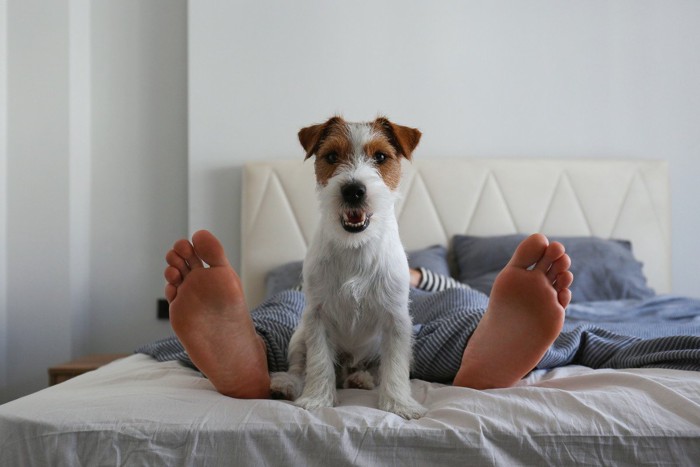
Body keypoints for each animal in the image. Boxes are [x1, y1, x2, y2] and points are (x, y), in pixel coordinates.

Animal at [270, 117, 426, 420]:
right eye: (331, 156)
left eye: (380, 157)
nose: (353, 190)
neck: (356, 247)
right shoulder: (317, 317)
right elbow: (319, 362)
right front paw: (317, 399)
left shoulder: (397, 320)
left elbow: (395, 368)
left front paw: (399, 404)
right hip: (299, 337)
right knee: (300, 367)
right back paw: (286, 385)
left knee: (374, 370)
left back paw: (360, 378)